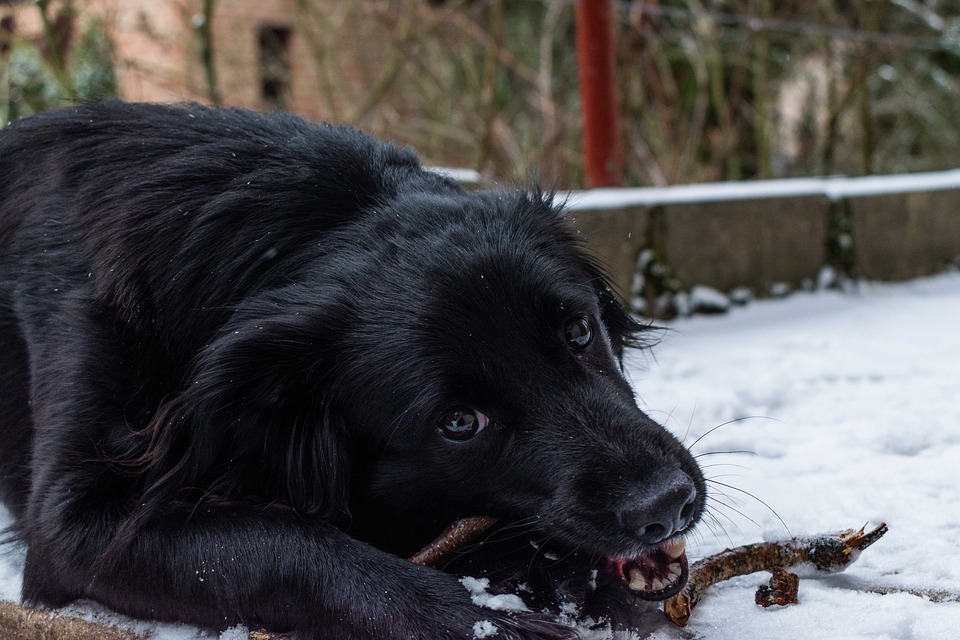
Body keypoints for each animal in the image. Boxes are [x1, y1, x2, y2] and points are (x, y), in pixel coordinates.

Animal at [0, 102, 704, 636]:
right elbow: (288, 544)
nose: (666, 505)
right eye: (458, 422)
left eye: (579, 331)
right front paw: (486, 621)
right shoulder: (76, 528)